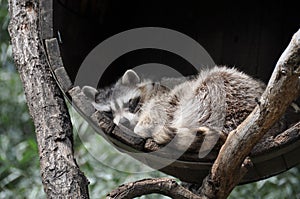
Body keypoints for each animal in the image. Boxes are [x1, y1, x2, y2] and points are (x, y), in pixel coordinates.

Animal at [83, 67, 266, 152]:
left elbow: (158, 112)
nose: (123, 122)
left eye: (130, 103)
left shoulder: (161, 98)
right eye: (109, 112)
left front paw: (142, 126)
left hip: (217, 94)